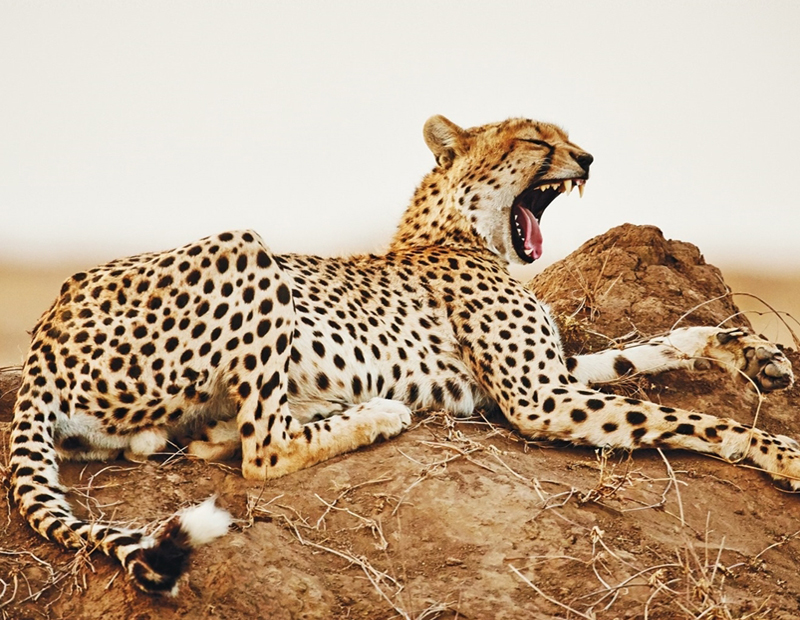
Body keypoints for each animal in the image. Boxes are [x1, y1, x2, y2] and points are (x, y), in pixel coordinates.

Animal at [9, 114, 795, 595]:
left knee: (183, 443)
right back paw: (374, 414)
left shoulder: (551, 377)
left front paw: (746, 350)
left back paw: (231, 428)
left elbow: (649, 353)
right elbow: (689, 421)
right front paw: (783, 454)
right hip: (246, 246)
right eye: (535, 139)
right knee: (264, 451)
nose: (588, 158)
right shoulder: (537, 399)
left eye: (566, 138)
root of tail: (44, 331)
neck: (458, 233)